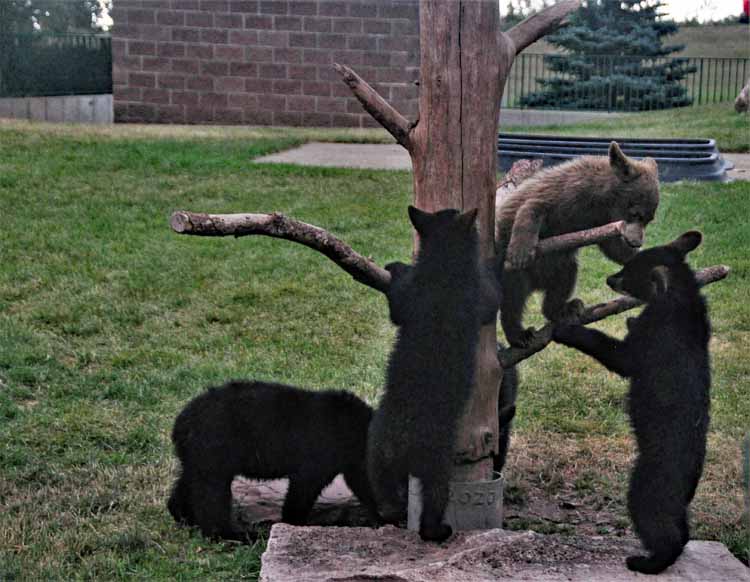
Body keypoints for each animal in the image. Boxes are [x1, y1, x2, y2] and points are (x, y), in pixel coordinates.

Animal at [168, 379, 379, 541]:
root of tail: (181, 423)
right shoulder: (322, 452)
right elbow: (303, 487)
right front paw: (295, 523)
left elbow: (362, 481)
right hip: (214, 447)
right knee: (211, 492)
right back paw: (235, 535)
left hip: (198, 455)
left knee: (190, 482)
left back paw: (182, 515)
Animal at [368, 205, 491, 543]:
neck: (444, 270)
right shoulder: (479, 296)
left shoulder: (410, 296)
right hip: (433, 463)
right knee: (430, 501)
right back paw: (435, 530)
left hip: (382, 451)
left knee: (390, 497)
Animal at [495, 141, 660, 347]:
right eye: (636, 214)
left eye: (649, 220)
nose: (636, 242)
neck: (602, 200)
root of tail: (537, 284)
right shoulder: (569, 192)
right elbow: (532, 207)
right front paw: (520, 252)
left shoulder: (601, 220)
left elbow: (611, 246)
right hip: (512, 273)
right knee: (513, 298)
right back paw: (519, 334)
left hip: (559, 265)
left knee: (564, 279)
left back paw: (564, 309)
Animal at [553, 231, 711, 575]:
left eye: (628, 272)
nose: (609, 278)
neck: (679, 298)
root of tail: (689, 484)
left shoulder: (656, 337)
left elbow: (621, 356)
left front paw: (566, 328)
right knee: (680, 527)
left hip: (648, 483)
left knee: (658, 525)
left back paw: (646, 561)